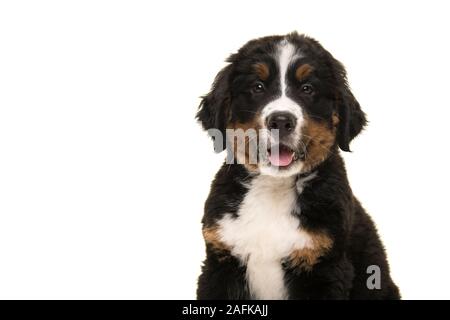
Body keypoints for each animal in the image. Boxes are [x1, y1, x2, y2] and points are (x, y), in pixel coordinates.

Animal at [195, 32, 400, 300]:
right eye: (257, 87)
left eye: (307, 88)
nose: (281, 121)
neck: (273, 188)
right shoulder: (220, 263)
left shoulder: (324, 268)